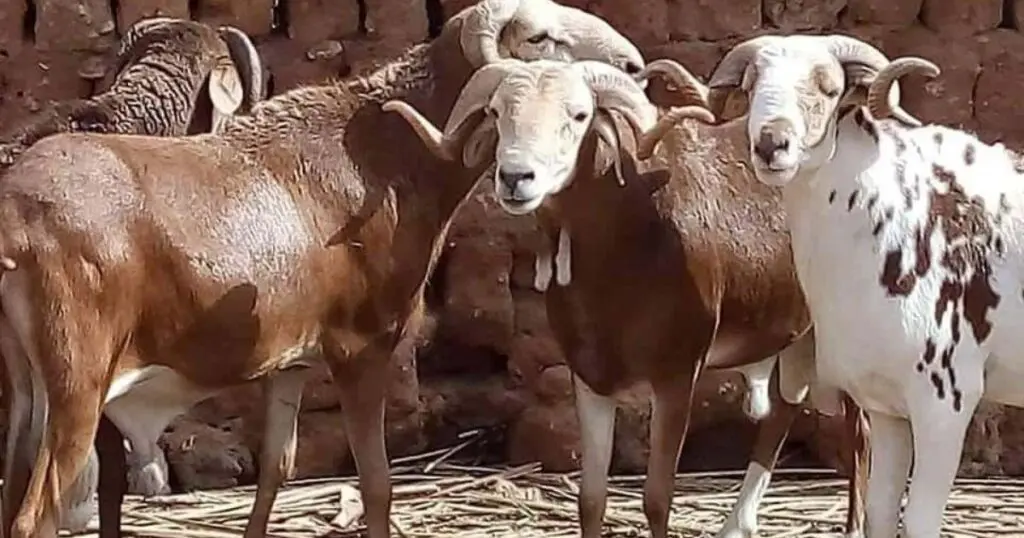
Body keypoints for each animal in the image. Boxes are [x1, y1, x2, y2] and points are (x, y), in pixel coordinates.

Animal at [0, 1, 651, 536]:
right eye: (541, 37)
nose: (634, 64)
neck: (392, 155)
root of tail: (17, 220)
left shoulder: (290, 359)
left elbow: (276, 471)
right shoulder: (361, 347)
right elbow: (377, 485)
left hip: (28, 391)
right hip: (77, 383)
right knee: (35, 516)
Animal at [384, 57, 870, 538]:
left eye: (579, 115)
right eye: (497, 112)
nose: (516, 178)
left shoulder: (677, 377)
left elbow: (657, 499)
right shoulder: (591, 379)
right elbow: (591, 499)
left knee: (860, 432)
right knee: (786, 408)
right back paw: (738, 524)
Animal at [707, 32, 1024, 538]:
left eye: (828, 86)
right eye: (751, 83)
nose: (772, 143)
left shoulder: (946, 399)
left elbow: (918, 519)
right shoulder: (885, 405)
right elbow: (880, 510)